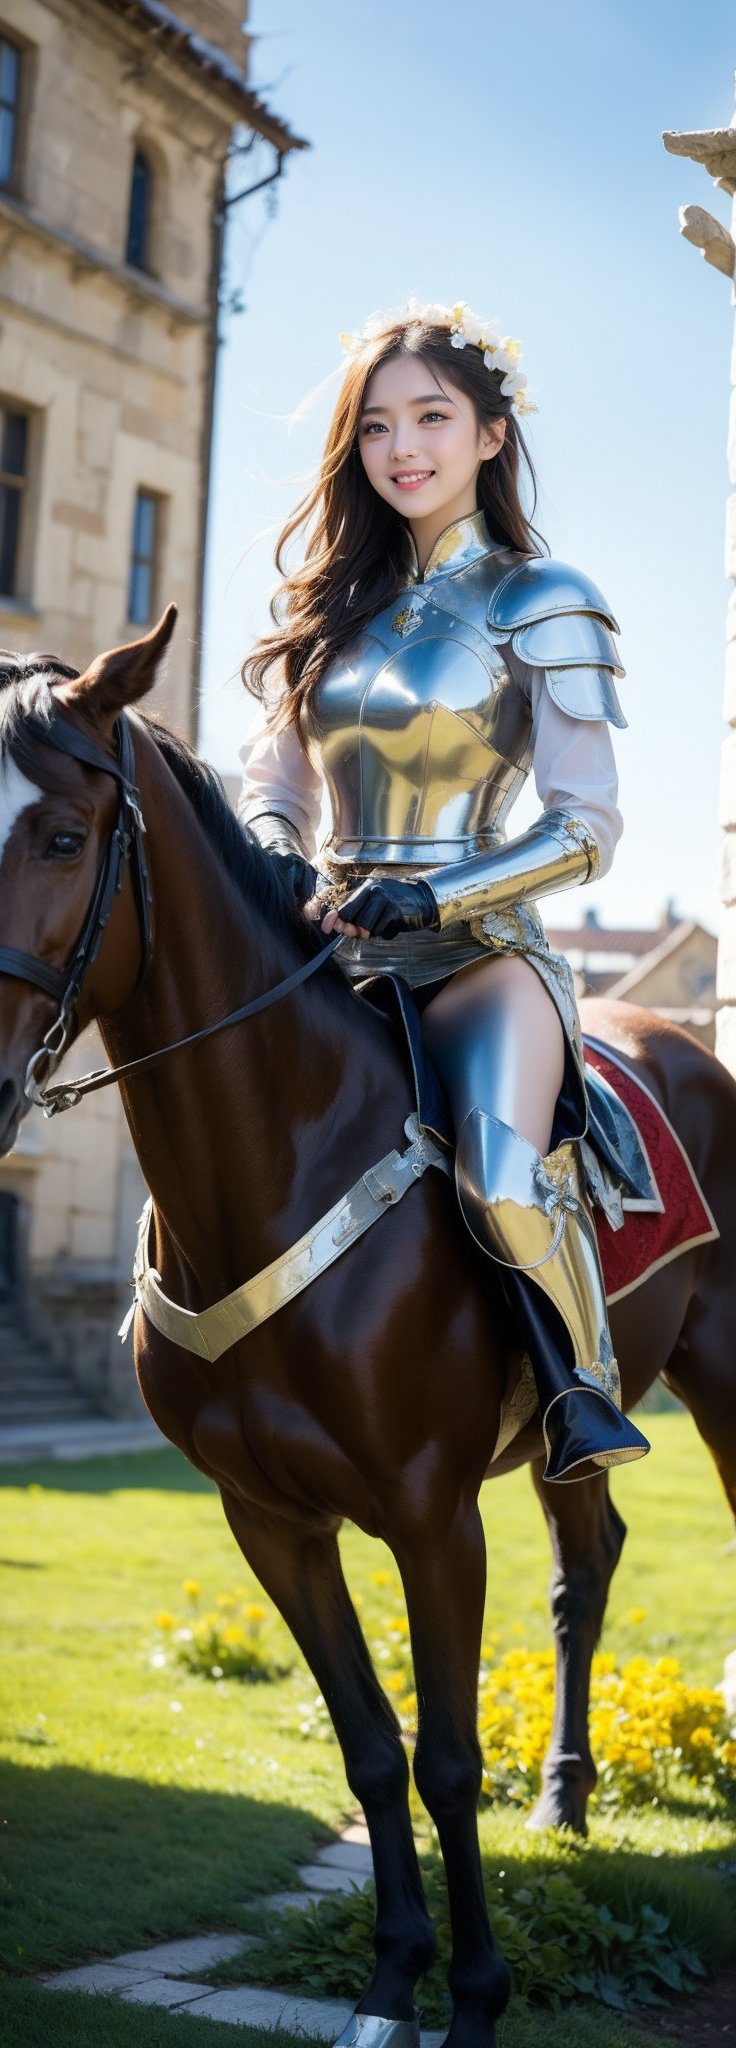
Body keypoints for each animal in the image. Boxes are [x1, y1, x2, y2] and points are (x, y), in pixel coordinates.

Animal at [0, 606, 733, 2048]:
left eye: (59, 834)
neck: (276, 1154)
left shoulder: (428, 1511)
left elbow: (445, 1757)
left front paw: (477, 1997)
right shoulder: (270, 1518)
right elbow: (369, 1744)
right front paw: (393, 1984)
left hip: (731, 1377)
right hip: (578, 1424)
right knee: (587, 1563)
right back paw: (565, 1796)